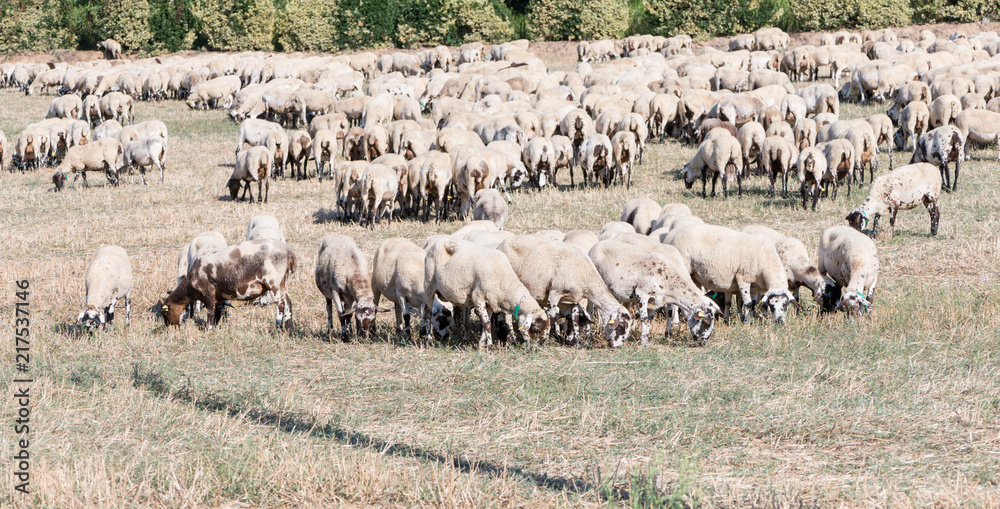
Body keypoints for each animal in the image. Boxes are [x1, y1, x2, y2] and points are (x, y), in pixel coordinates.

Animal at [162, 239, 295, 329]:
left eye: (165, 312)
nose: (170, 328)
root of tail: (287, 250)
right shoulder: (219, 297)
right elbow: (216, 312)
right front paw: (215, 327)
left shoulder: (208, 293)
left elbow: (210, 312)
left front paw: (209, 329)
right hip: (282, 281)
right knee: (288, 301)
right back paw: (289, 326)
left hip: (273, 282)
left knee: (280, 304)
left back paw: (278, 326)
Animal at [498, 236, 632, 347]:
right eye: (621, 325)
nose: (617, 346)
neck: (585, 275)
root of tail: (502, 243)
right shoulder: (554, 293)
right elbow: (552, 317)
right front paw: (550, 340)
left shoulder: (572, 299)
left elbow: (574, 318)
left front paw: (576, 341)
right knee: (507, 316)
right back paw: (512, 339)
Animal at [589, 240, 720, 345]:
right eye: (706, 321)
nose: (703, 342)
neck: (669, 281)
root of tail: (596, 244)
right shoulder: (642, 294)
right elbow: (644, 318)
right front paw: (643, 342)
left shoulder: (655, 302)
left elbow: (650, 319)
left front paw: (647, 339)